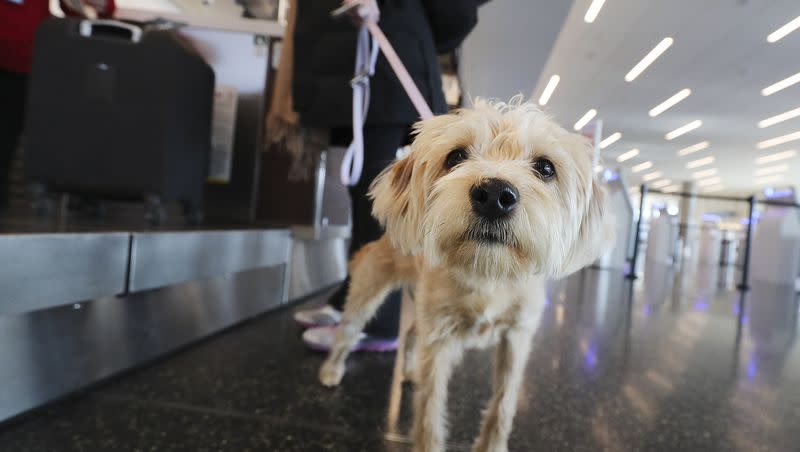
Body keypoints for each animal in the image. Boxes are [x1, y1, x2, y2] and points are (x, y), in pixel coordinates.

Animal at [316, 99, 608, 452]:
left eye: (545, 167)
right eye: (455, 156)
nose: (495, 195)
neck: (487, 274)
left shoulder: (517, 337)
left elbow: (503, 404)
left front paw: (492, 445)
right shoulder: (439, 338)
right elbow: (430, 410)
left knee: (410, 333)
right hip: (368, 294)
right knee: (348, 333)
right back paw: (332, 370)